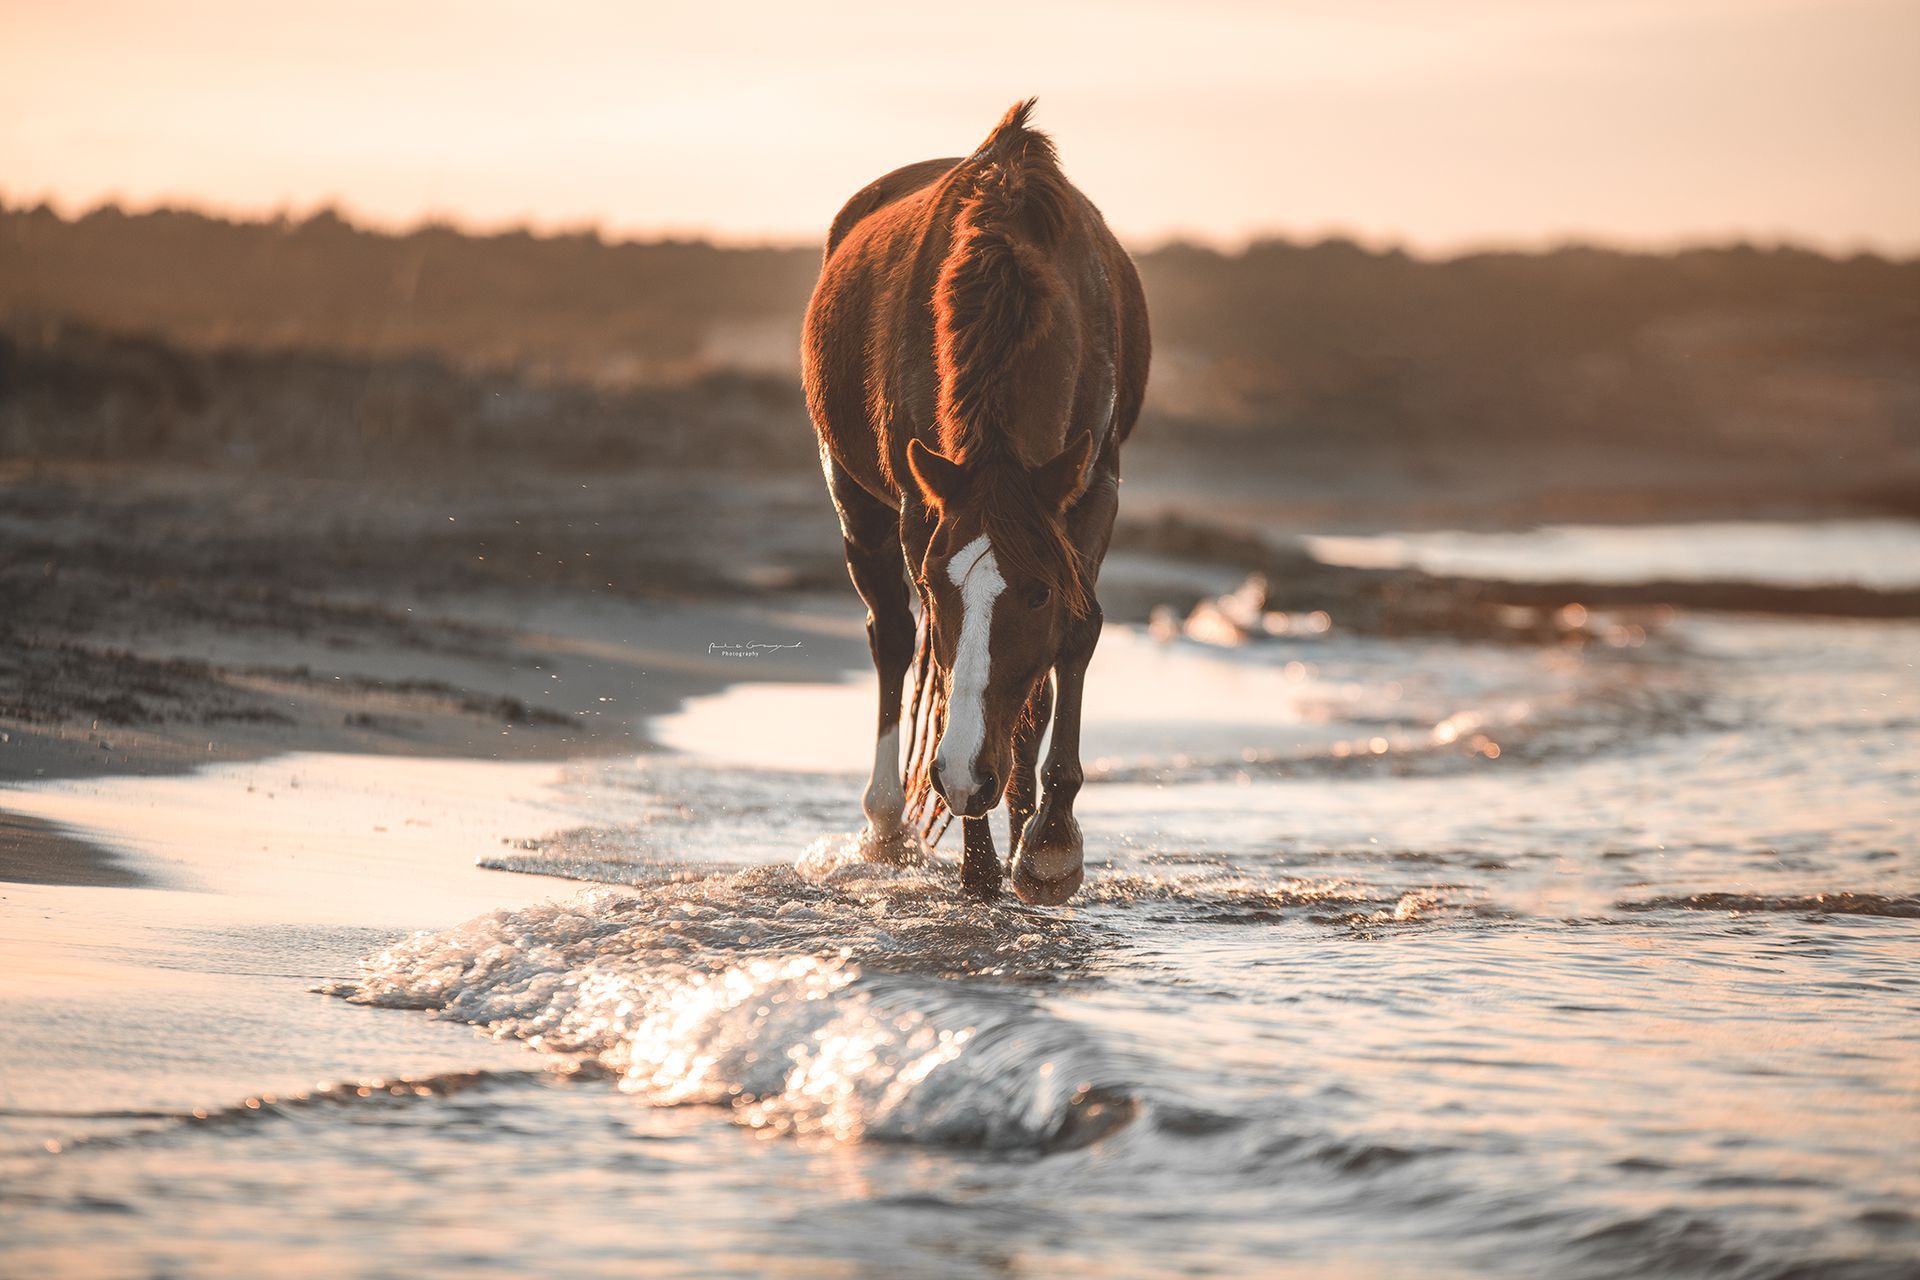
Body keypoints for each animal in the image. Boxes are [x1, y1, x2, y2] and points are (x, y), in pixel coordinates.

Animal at [801, 99, 1150, 904]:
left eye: (1037, 592)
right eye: (938, 584)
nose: (963, 775)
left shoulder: (1092, 488)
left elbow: (1073, 640)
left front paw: (1049, 844)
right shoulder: (920, 505)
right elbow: (939, 652)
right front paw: (982, 862)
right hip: (855, 502)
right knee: (893, 638)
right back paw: (888, 824)